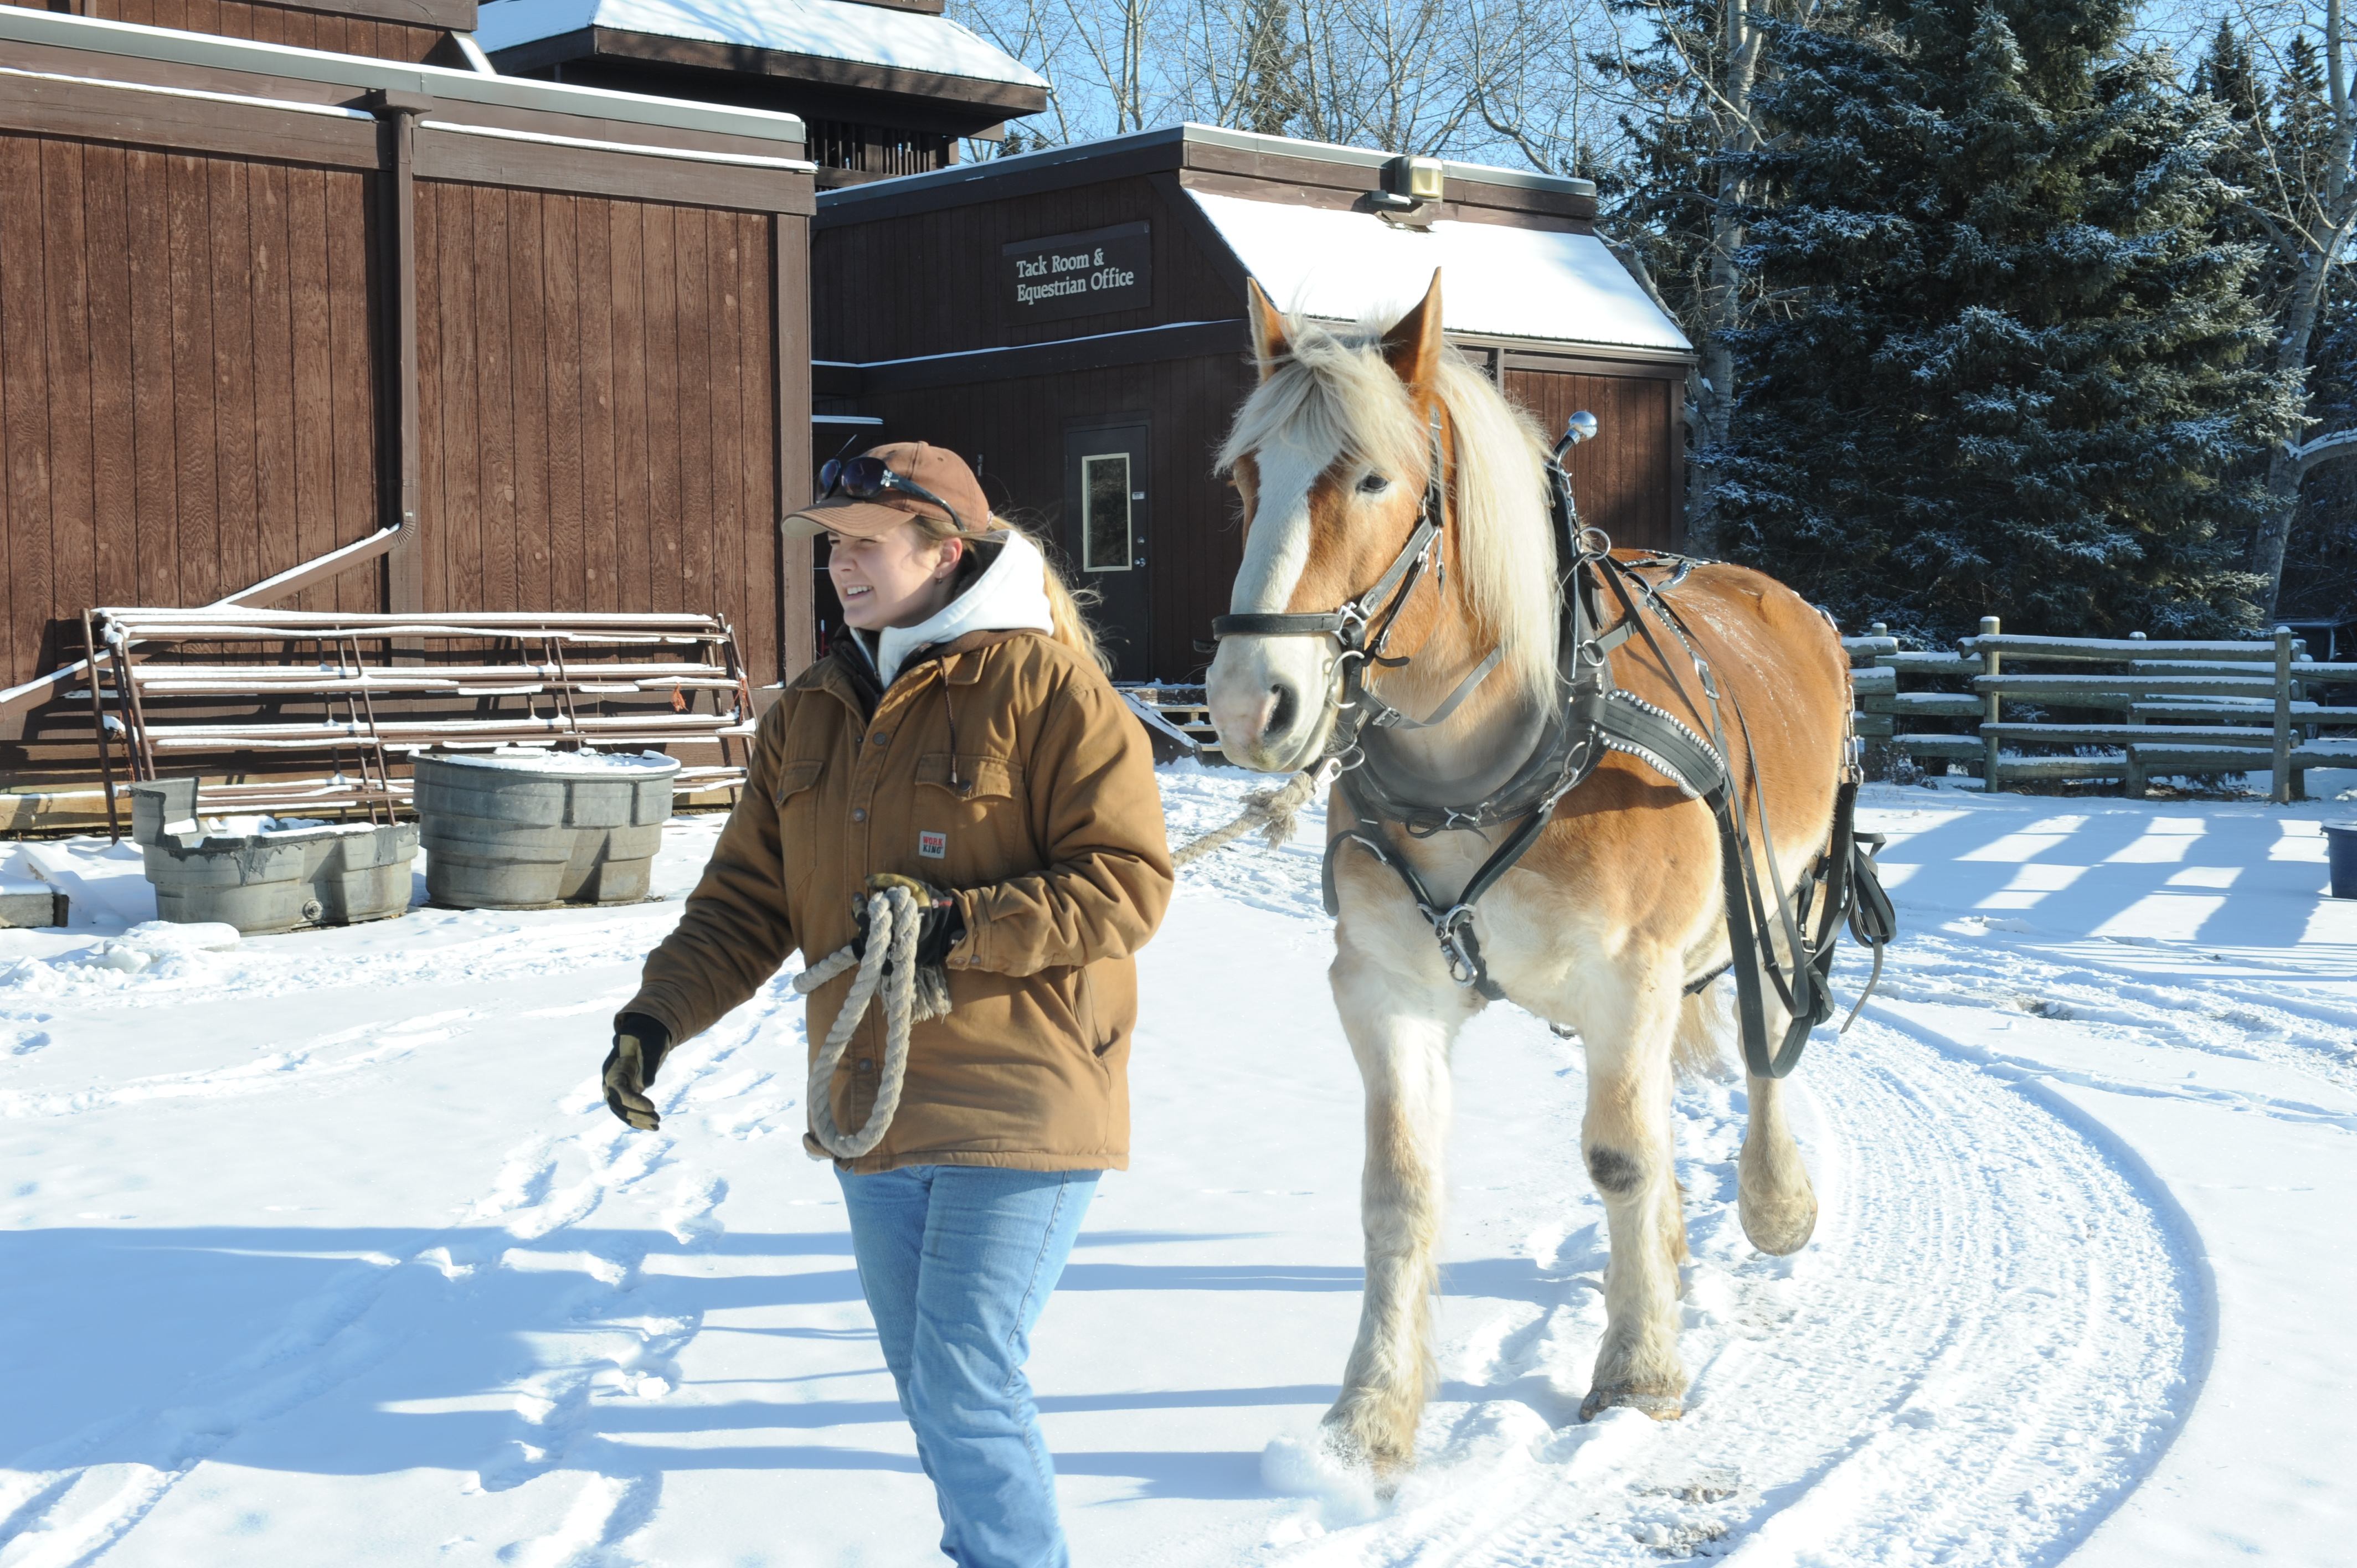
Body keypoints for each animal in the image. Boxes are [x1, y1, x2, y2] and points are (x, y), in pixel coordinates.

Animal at [1207, 272, 1885, 1471]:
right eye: (1247, 477)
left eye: (1373, 477)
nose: (1252, 705)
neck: (1488, 763)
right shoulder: (1386, 984)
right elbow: (1399, 1189)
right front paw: (1367, 1418)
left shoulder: (1630, 972)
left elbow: (1620, 1158)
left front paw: (1638, 1373)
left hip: (1775, 900)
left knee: (1767, 1040)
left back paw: (1772, 1201)